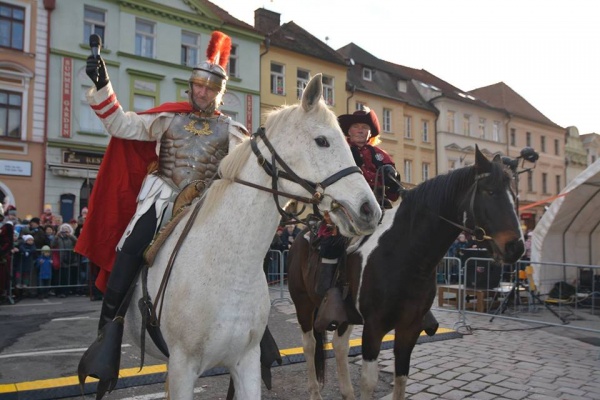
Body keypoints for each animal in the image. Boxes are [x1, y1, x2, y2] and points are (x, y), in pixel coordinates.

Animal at [288, 145, 524, 398]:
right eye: (489, 192)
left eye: (514, 196)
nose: (516, 247)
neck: (407, 255)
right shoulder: (374, 328)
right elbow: (369, 381)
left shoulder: (409, 328)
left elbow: (401, 377)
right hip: (304, 305)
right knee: (310, 345)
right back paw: (315, 391)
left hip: (343, 314)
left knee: (339, 346)